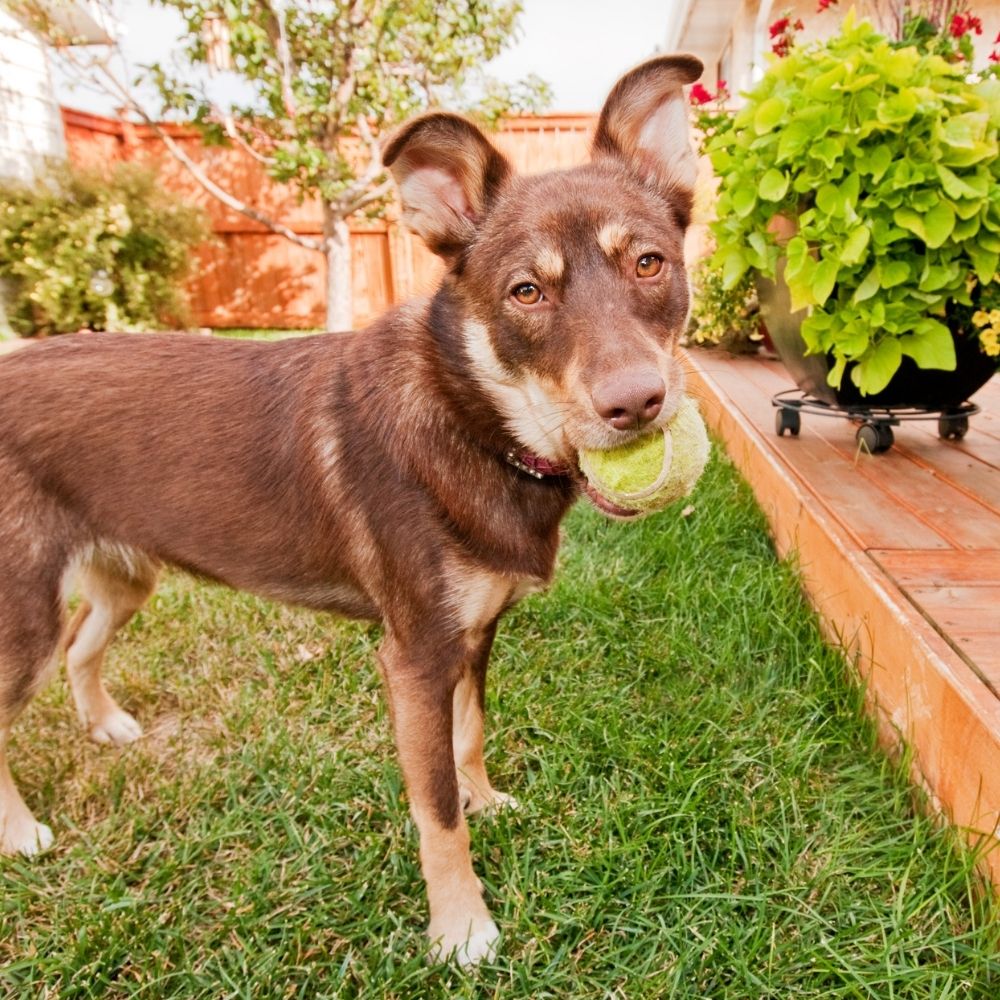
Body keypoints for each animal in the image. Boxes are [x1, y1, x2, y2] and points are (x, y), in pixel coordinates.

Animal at [0, 54, 700, 960]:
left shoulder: (474, 635)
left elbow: (470, 735)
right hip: (23, 616)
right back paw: (20, 833)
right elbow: (434, 808)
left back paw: (106, 726)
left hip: (122, 578)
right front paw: (461, 927)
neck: (470, 417)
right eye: (525, 292)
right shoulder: (414, 657)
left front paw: (486, 800)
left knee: (83, 646)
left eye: (649, 264)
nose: (637, 405)